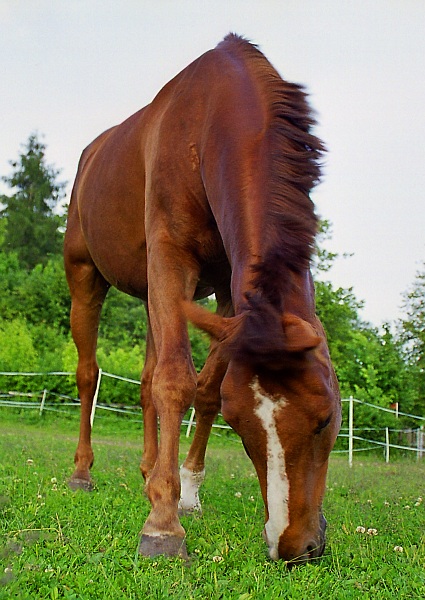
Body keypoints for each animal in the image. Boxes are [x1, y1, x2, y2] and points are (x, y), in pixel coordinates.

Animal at [63, 34, 342, 564]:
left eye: (325, 419)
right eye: (247, 434)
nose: (295, 546)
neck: (211, 120)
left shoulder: (230, 292)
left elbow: (205, 388)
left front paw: (185, 493)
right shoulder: (171, 258)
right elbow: (175, 381)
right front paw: (162, 524)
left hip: (154, 295)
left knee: (145, 379)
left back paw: (151, 470)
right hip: (85, 276)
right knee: (89, 374)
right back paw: (83, 472)